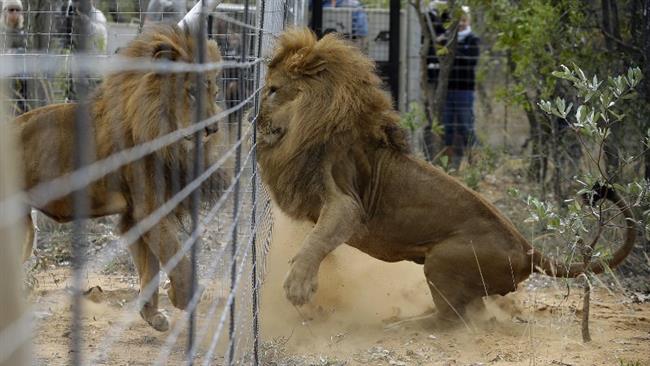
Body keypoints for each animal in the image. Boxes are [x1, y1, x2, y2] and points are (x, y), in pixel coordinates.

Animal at [15, 23, 228, 332]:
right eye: (191, 92)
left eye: (214, 91)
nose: (213, 129)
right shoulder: (148, 209)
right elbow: (176, 255)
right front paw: (181, 296)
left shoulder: (134, 216)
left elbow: (150, 266)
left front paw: (152, 315)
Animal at [256, 27, 636, 326]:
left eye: (273, 89)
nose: (255, 120)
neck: (306, 128)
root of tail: (526, 247)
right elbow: (318, 241)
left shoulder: (347, 203)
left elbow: (317, 240)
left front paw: (298, 286)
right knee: (472, 313)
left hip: (442, 260)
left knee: (452, 320)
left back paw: (401, 324)